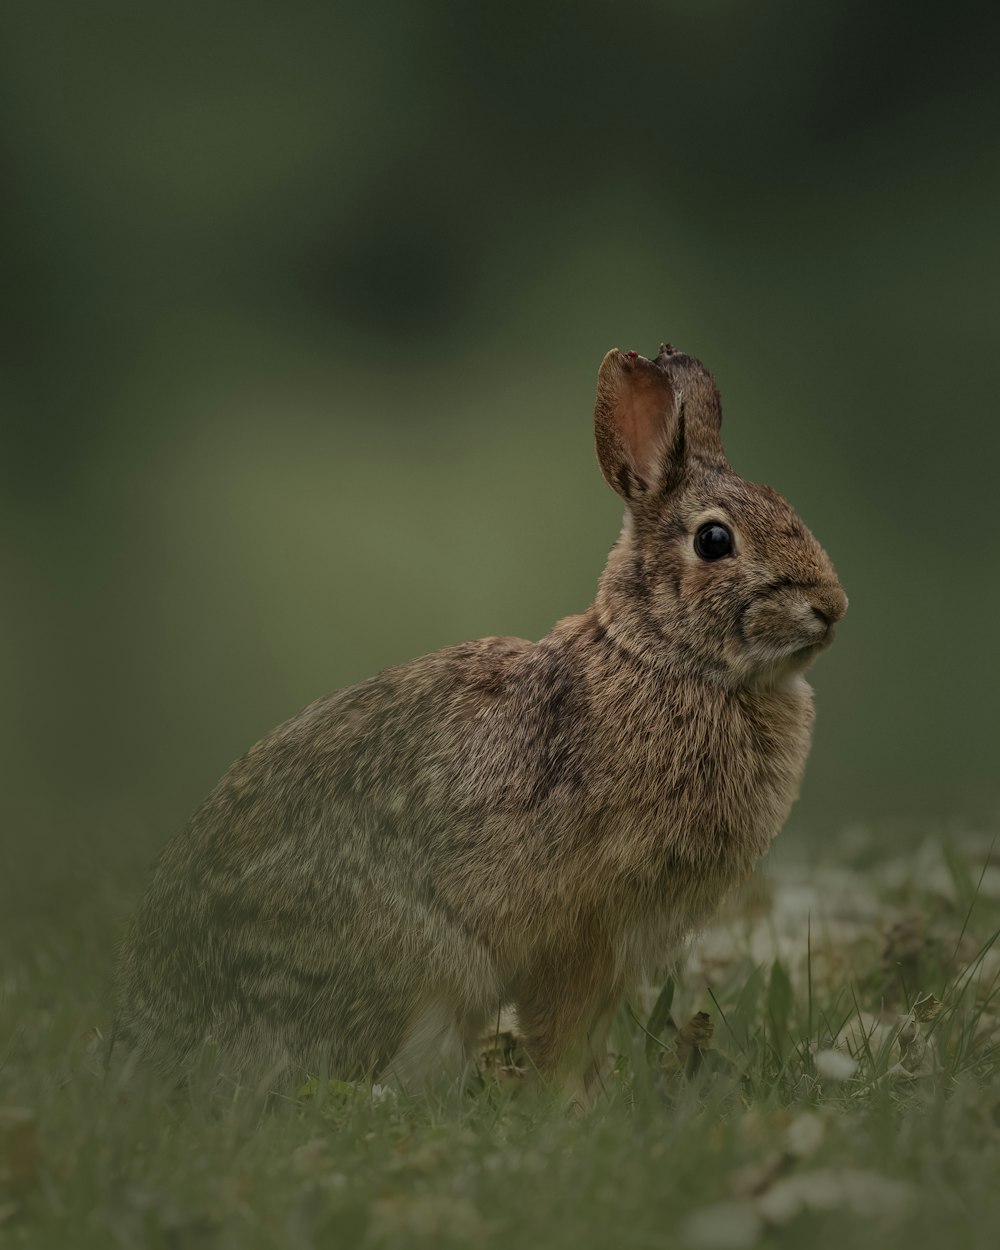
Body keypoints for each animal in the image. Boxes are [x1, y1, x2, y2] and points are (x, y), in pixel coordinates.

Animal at [119, 345, 850, 1105]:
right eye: (714, 540)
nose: (832, 606)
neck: (663, 656)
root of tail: (156, 1025)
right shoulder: (583, 928)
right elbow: (562, 1028)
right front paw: (576, 1106)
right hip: (422, 971)